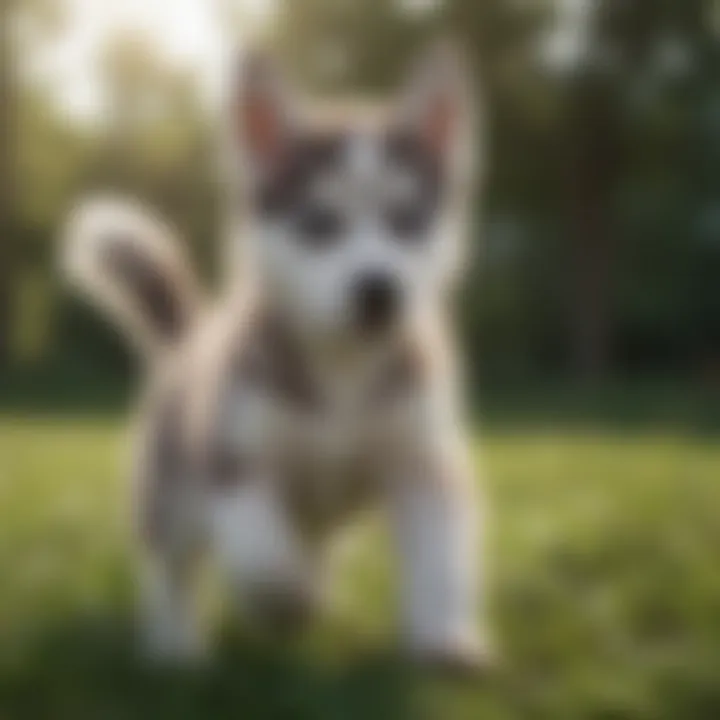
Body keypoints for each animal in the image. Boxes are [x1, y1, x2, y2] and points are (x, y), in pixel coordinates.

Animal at [63, 40, 490, 668]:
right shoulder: (234, 461)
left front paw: (443, 639)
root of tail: (188, 339)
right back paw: (174, 646)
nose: (379, 290)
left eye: (407, 220)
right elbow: (261, 556)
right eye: (319, 223)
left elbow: (440, 555)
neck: (342, 366)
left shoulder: (421, 462)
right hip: (170, 496)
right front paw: (286, 601)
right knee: (170, 568)